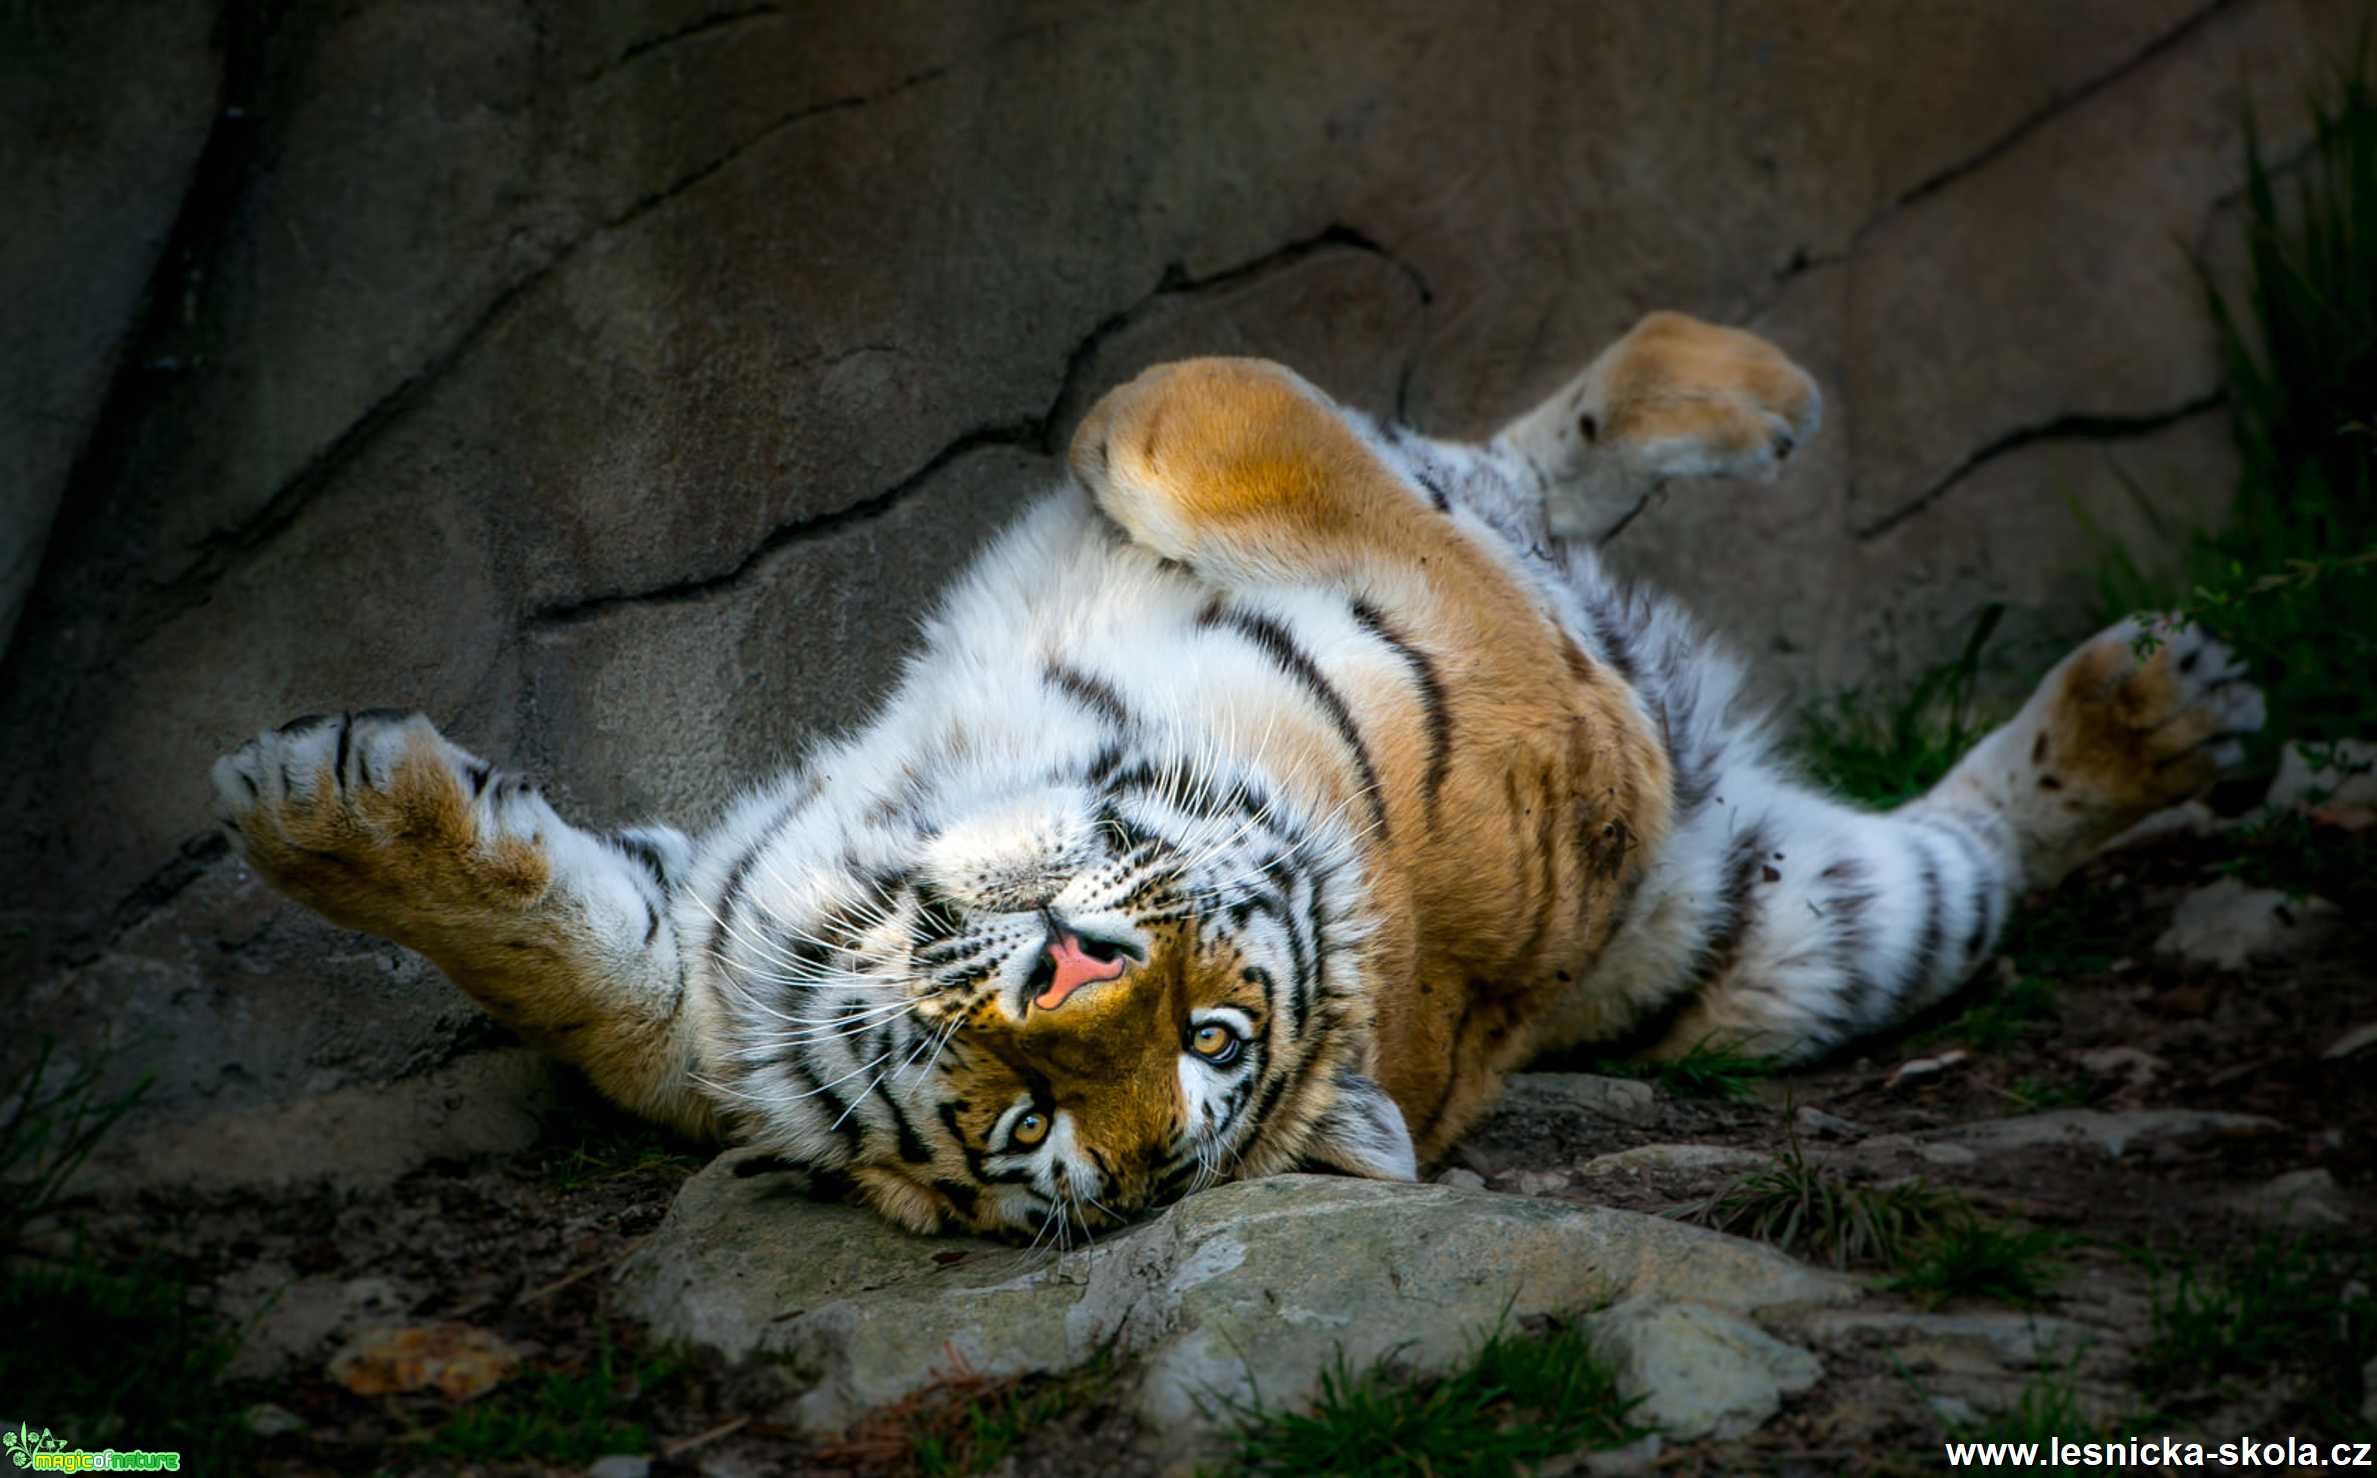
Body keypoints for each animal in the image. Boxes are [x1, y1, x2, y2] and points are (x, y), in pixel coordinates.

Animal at [209, 318, 2262, 1245]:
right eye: (1024, 1119)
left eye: (1210, 1042)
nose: (1064, 972)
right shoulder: (713, 961)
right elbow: (562, 956)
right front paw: (328, 809)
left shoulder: (1543, 702)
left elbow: (1244, 429)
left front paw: (1139, 416)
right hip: (1776, 922)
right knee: (1525, 465)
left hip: (1806, 950)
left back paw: (2163, 708)